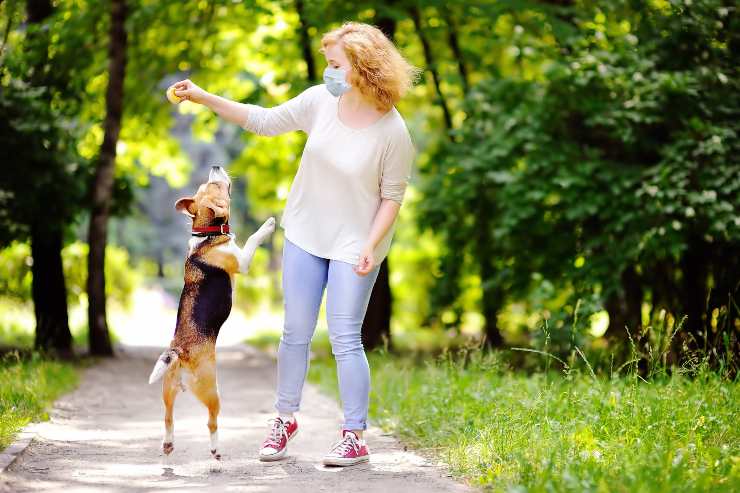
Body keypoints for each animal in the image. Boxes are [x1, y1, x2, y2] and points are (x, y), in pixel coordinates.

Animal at [147, 165, 274, 458]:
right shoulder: (243, 261)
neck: (207, 235)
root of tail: (179, 351)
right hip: (212, 391)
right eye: (215, 186)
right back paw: (216, 449)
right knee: (211, 421)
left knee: (168, 418)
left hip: (167, 391)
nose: (215, 166)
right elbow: (253, 238)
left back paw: (168, 444)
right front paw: (269, 225)